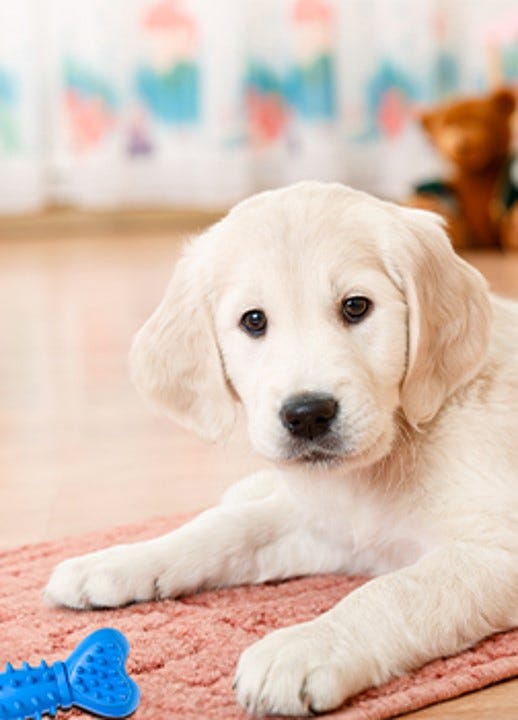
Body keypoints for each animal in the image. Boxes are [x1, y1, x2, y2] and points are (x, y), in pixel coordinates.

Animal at [46, 184, 516, 716]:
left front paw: (305, 647)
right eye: (253, 320)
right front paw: (117, 561)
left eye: (356, 307)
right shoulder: (329, 530)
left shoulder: (496, 548)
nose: (308, 414)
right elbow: (226, 528)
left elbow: (397, 591)